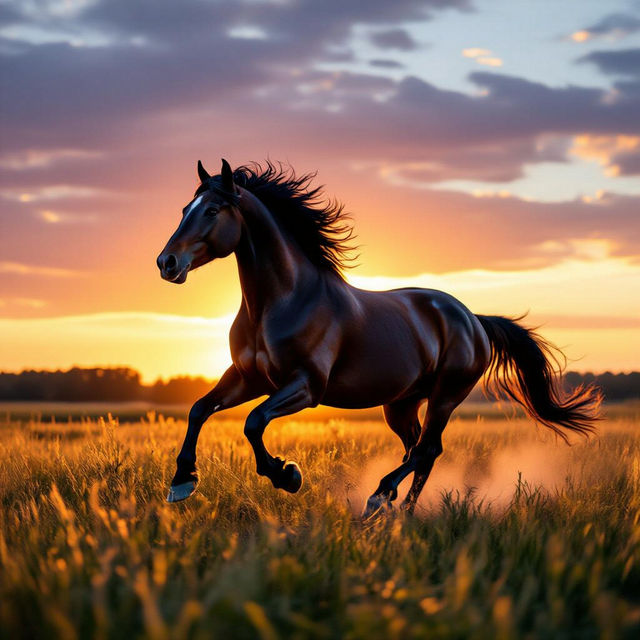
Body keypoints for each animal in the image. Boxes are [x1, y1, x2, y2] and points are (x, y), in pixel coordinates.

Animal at [157, 159, 601, 517]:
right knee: (418, 449)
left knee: (427, 449)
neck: (282, 301)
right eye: (183, 209)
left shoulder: (305, 387)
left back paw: (381, 499)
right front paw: (182, 482)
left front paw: (288, 475)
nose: (167, 263)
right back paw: (398, 509)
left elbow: (253, 422)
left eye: (212, 210)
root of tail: (472, 318)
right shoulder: (249, 378)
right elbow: (199, 409)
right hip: (401, 403)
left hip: (446, 395)